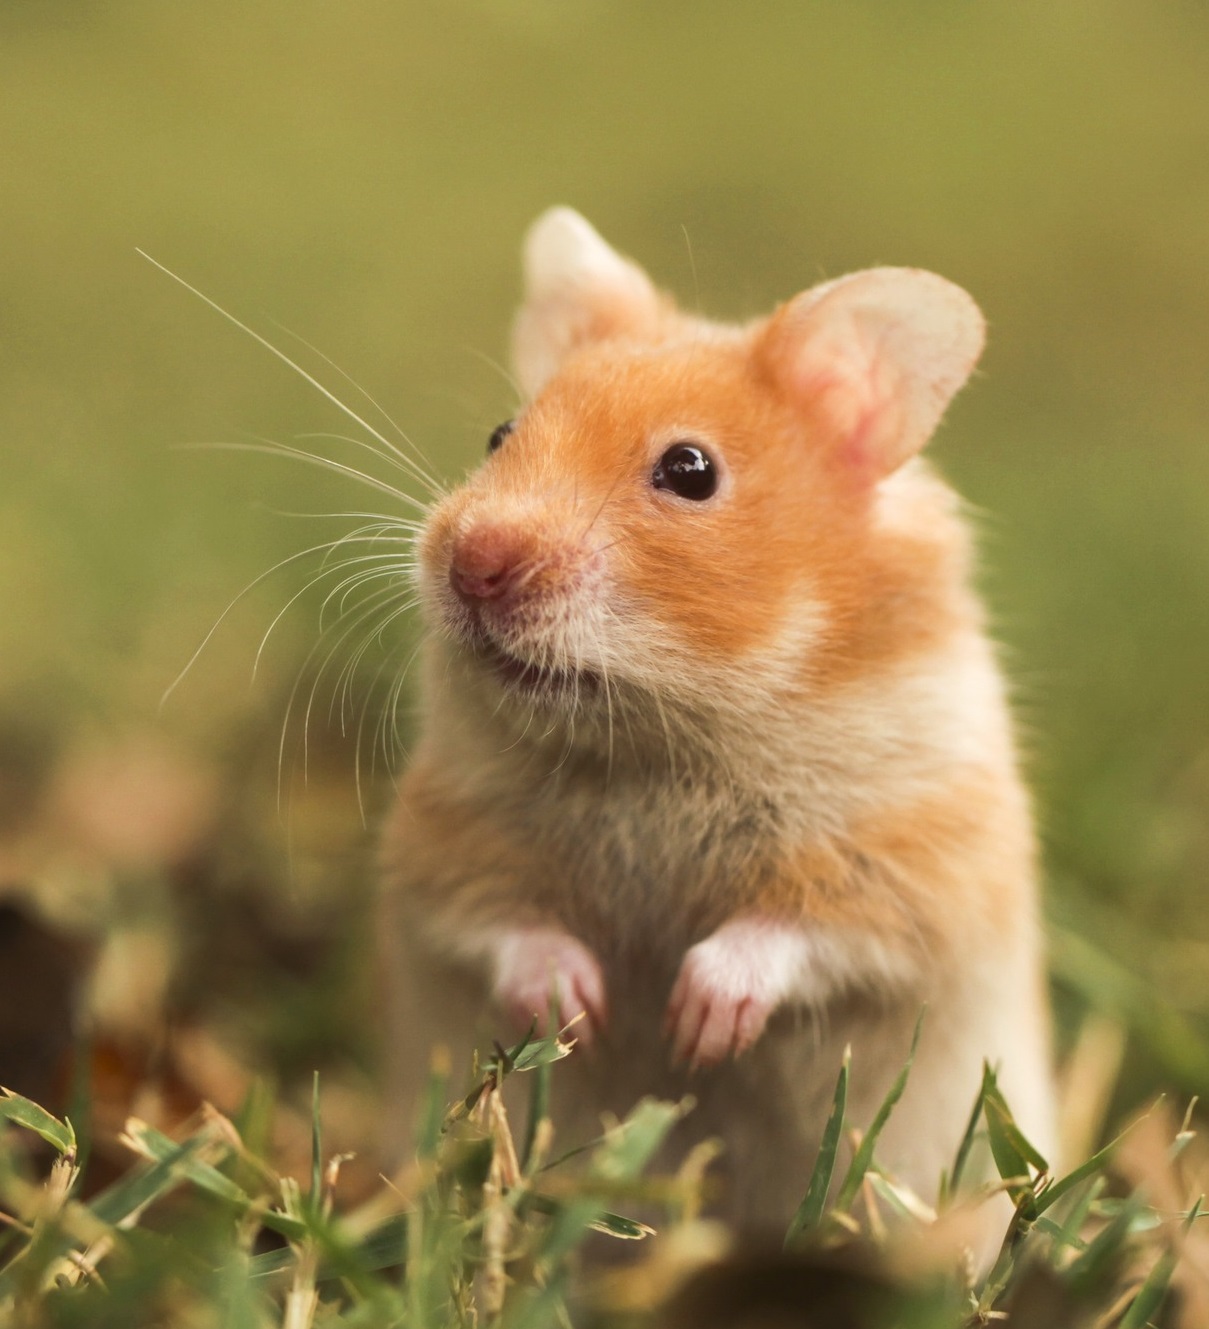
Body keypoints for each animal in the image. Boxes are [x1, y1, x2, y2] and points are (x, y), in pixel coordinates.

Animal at [380, 208, 1055, 1230]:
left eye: (689, 470)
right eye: (499, 434)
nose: (475, 564)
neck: (661, 740)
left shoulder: (921, 858)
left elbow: (797, 929)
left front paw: (695, 1028)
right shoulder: (444, 840)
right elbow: (502, 920)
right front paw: (582, 1011)